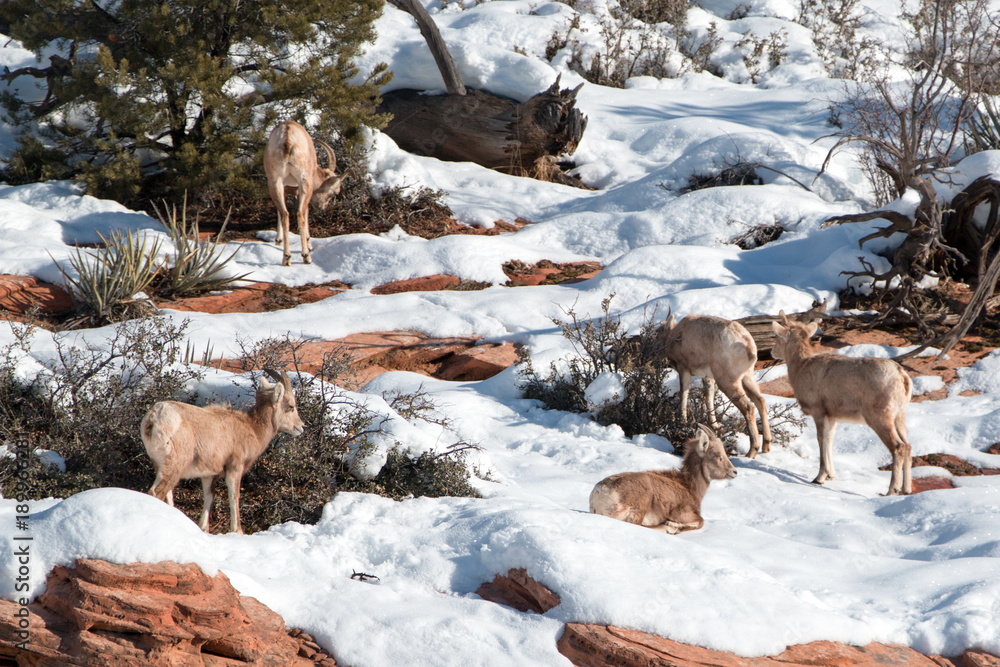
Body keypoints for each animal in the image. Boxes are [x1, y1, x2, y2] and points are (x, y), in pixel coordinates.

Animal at [140, 369, 304, 533]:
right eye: (291, 406)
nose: (301, 427)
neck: (252, 429)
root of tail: (155, 416)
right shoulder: (234, 468)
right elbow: (234, 496)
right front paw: (237, 531)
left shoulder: (208, 475)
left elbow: (209, 497)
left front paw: (204, 528)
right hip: (175, 466)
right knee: (157, 492)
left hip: (159, 465)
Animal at [264, 120, 346, 266]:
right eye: (334, 193)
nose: (322, 208)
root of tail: (287, 138)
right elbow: (305, 212)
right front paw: (309, 245)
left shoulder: (283, 186)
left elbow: (279, 212)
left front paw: (278, 240)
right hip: (304, 182)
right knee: (300, 214)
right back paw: (306, 256)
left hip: (275, 182)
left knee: (285, 214)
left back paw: (286, 258)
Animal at [589, 424, 736, 534]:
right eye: (718, 456)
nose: (734, 472)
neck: (688, 487)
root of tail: (599, 493)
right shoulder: (682, 513)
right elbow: (701, 521)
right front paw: (672, 525)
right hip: (642, 503)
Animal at [655, 313, 771, 458]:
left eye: (657, 333)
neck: (675, 335)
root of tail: (749, 346)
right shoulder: (708, 377)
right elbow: (708, 397)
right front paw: (714, 426)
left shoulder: (684, 369)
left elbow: (684, 394)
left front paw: (682, 421)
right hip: (747, 378)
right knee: (760, 401)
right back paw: (766, 446)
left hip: (728, 382)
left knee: (749, 407)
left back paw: (751, 452)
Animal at [771, 314, 913, 495]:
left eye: (777, 337)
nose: (772, 352)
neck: (800, 368)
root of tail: (902, 377)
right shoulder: (832, 416)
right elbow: (829, 440)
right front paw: (831, 475)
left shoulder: (818, 411)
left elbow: (821, 440)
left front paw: (819, 478)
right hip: (900, 416)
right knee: (908, 445)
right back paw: (906, 490)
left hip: (879, 416)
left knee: (898, 447)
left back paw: (891, 490)